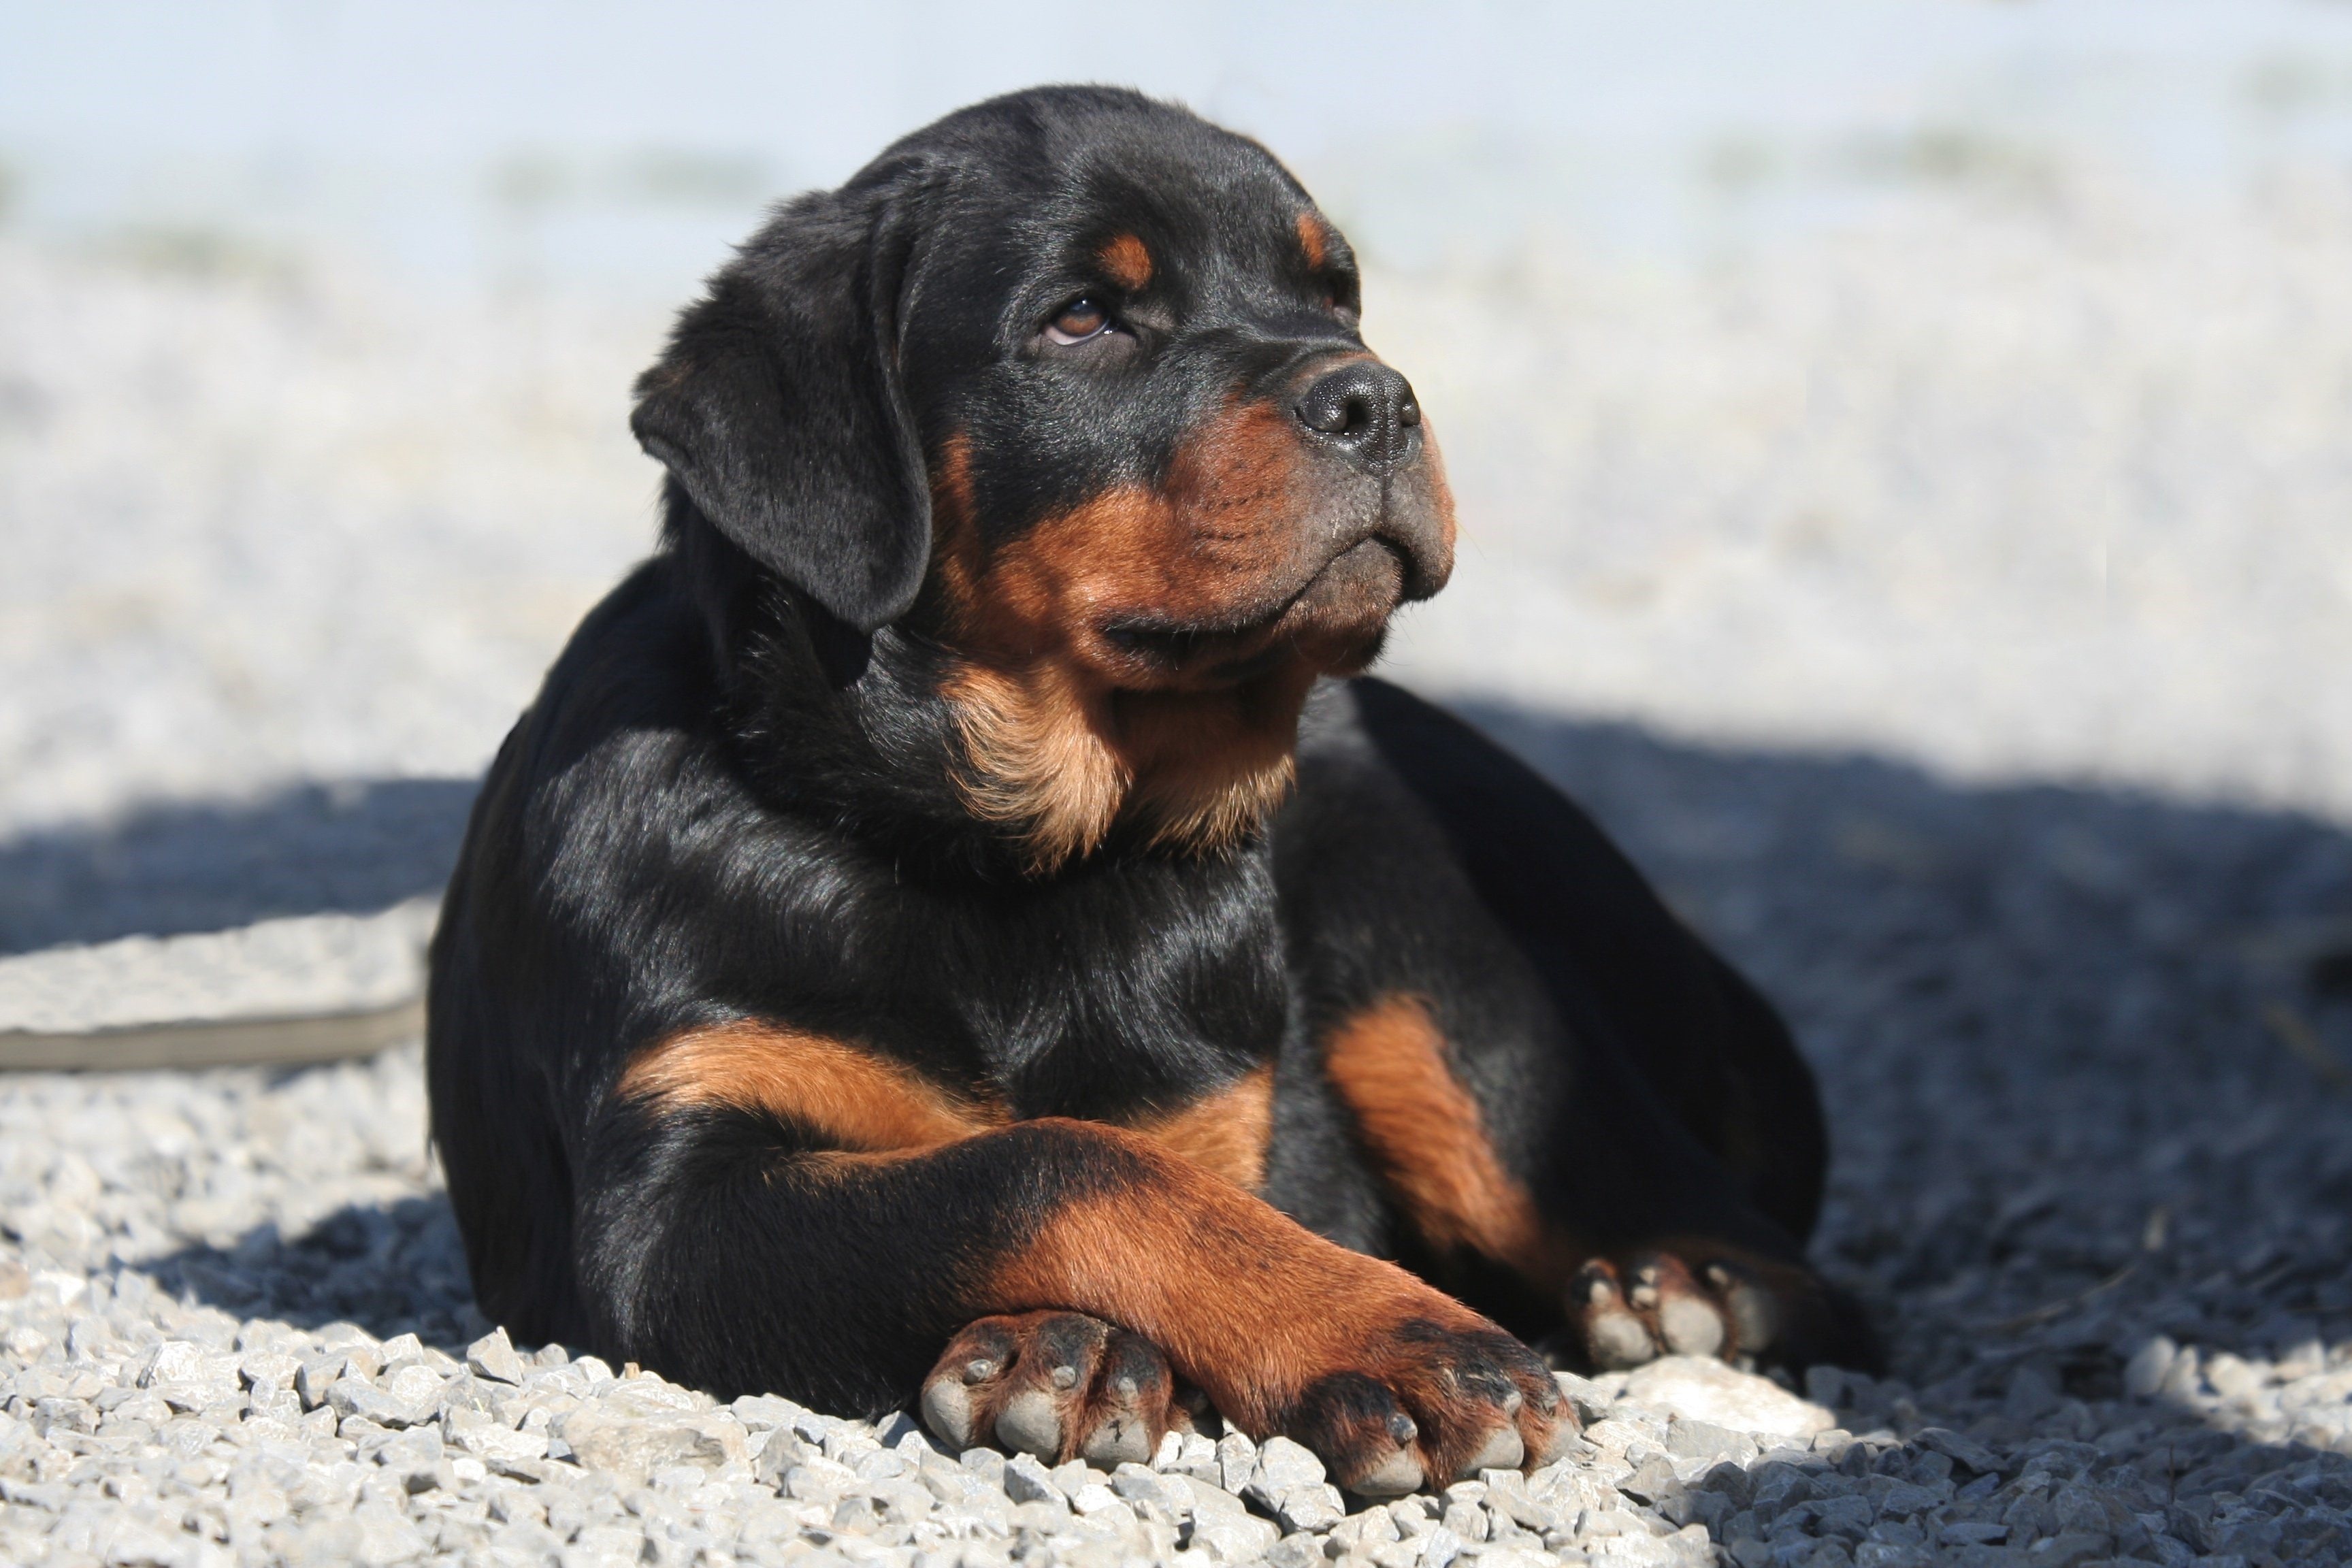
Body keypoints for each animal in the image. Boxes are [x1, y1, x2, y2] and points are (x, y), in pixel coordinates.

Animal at [427, 82, 1872, 1494]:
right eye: (1082, 317)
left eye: (1336, 294)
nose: (1379, 397)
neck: (989, 848)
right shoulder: (666, 1199)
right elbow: (1050, 1161)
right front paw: (1106, 1348)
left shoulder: (1216, 1118)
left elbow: (1154, 1183)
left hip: (1419, 924)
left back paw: (1686, 1284)